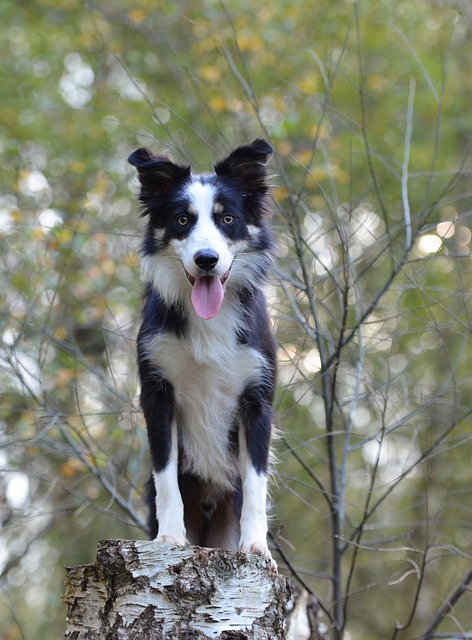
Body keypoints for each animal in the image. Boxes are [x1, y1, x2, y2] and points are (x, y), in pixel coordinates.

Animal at [128, 139, 276, 564]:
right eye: (182, 220)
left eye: (227, 218)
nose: (206, 260)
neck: (209, 317)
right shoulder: (157, 392)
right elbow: (166, 477)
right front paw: (170, 537)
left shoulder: (257, 398)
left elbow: (256, 482)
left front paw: (257, 545)